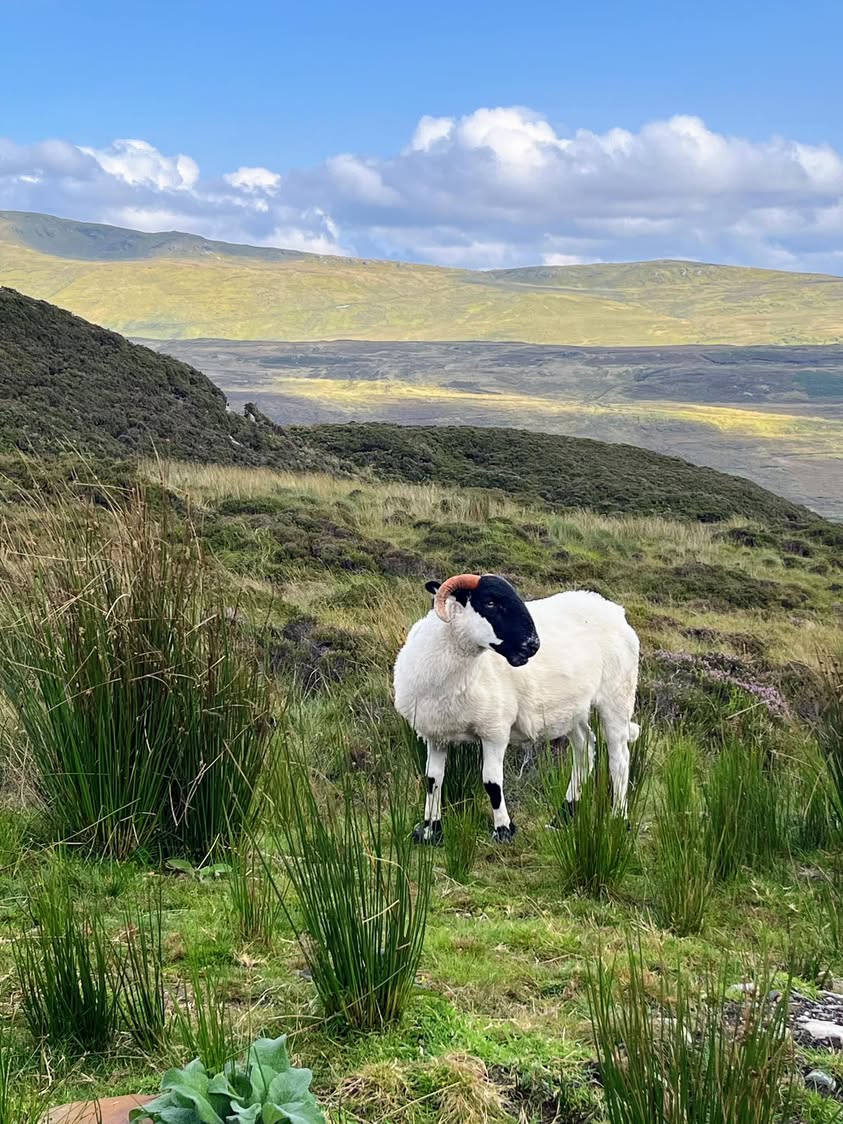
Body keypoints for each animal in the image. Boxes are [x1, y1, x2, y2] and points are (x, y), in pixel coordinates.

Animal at [393, 573, 640, 842]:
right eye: (490, 603)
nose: (533, 645)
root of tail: (615, 610)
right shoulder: (435, 735)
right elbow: (433, 780)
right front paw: (430, 831)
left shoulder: (495, 730)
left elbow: (491, 782)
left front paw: (503, 830)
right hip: (571, 709)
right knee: (585, 749)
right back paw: (563, 817)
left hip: (617, 697)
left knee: (620, 760)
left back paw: (619, 819)